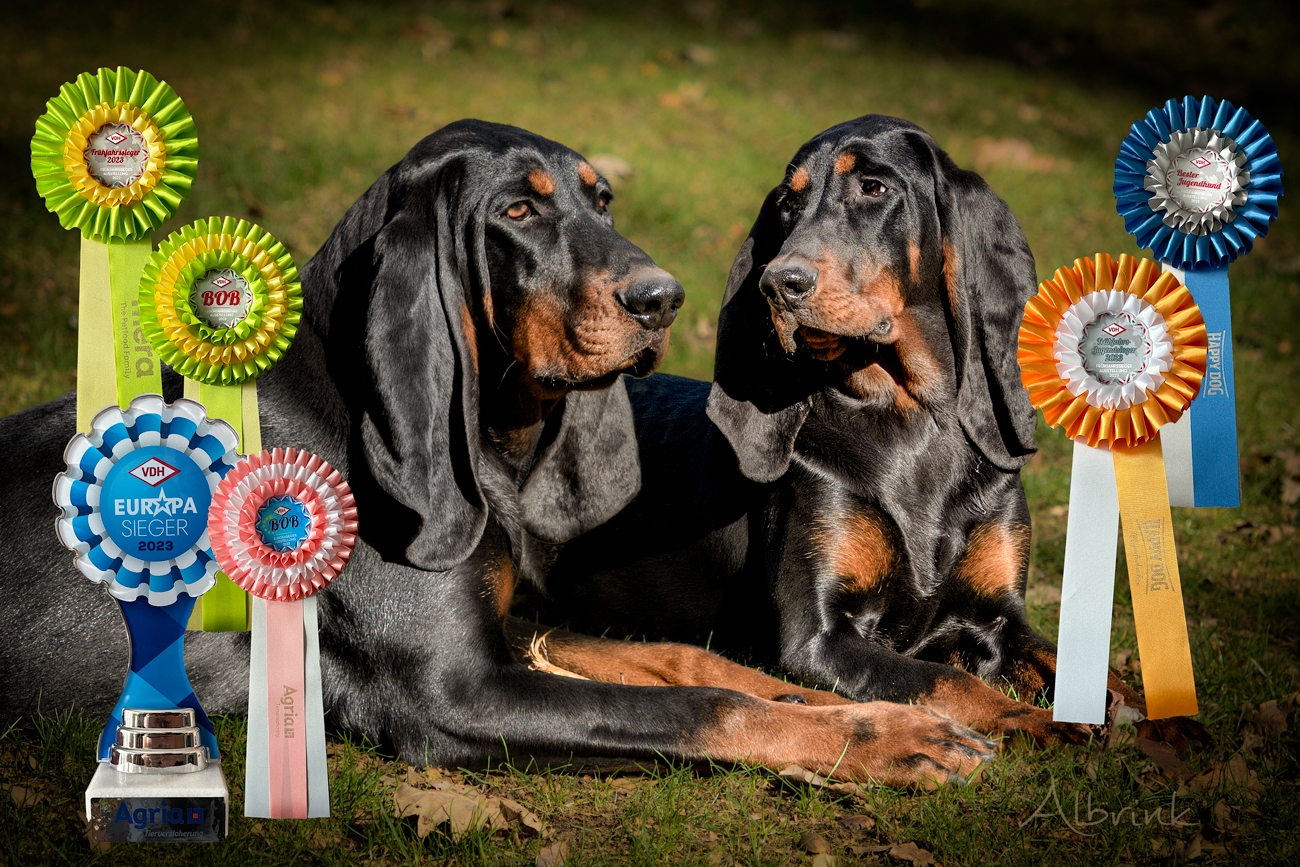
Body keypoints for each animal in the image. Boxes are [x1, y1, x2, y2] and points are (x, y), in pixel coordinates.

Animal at [0, 118, 993, 790]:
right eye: (518, 209)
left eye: (601, 199)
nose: (665, 299)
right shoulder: (452, 690)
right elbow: (696, 702)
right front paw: (888, 736)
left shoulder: (510, 624)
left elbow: (698, 662)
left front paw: (890, 703)